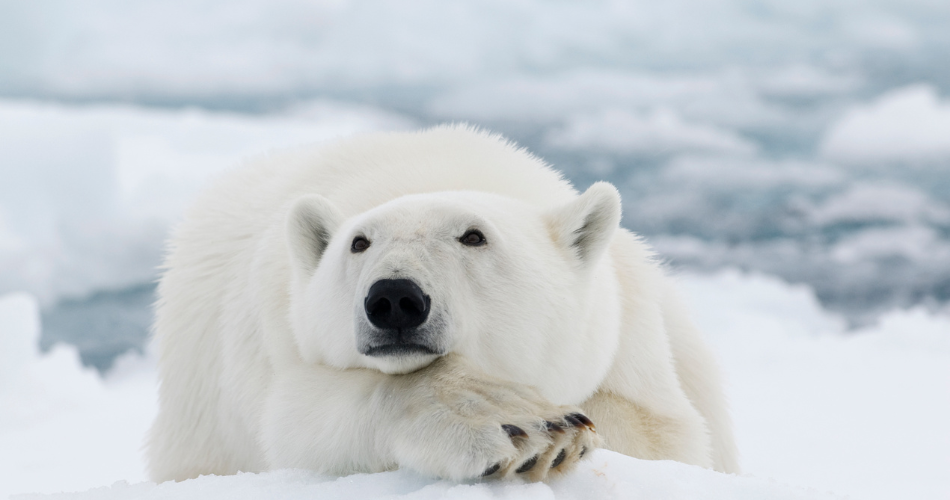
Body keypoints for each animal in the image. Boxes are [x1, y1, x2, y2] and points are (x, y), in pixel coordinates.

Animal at [146, 125, 739, 483]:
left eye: (474, 236)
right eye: (359, 242)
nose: (394, 298)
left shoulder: (628, 336)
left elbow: (663, 433)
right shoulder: (278, 339)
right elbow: (300, 416)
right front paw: (521, 425)